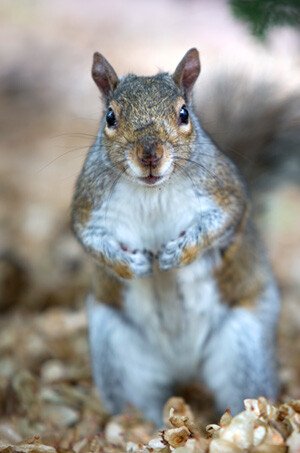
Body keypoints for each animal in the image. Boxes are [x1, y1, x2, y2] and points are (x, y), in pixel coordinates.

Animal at [71, 47, 300, 422]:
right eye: (110, 117)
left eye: (183, 113)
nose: (150, 154)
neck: (152, 191)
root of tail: (183, 366)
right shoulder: (88, 206)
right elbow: (89, 239)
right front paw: (130, 265)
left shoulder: (225, 193)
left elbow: (219, 223)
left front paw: (177, 253)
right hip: (115, 348)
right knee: (136, 399)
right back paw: (143, 427)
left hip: (244, 343)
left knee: (242, 388)